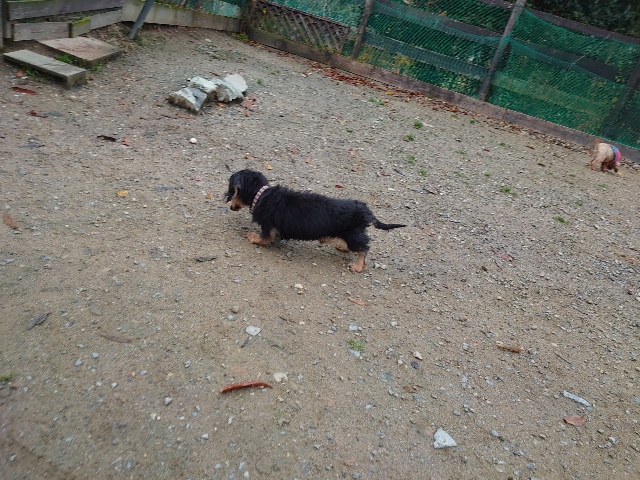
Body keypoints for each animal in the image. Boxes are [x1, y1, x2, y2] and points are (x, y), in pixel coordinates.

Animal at [225, 169, 406, 272]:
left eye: (232, 191)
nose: (230, 206)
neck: (262, 194)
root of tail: (366, 211)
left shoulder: (269, 226)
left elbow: (264, 238)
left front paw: (253, 238)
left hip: (353, 234)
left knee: (363, 248)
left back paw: (358, 266)